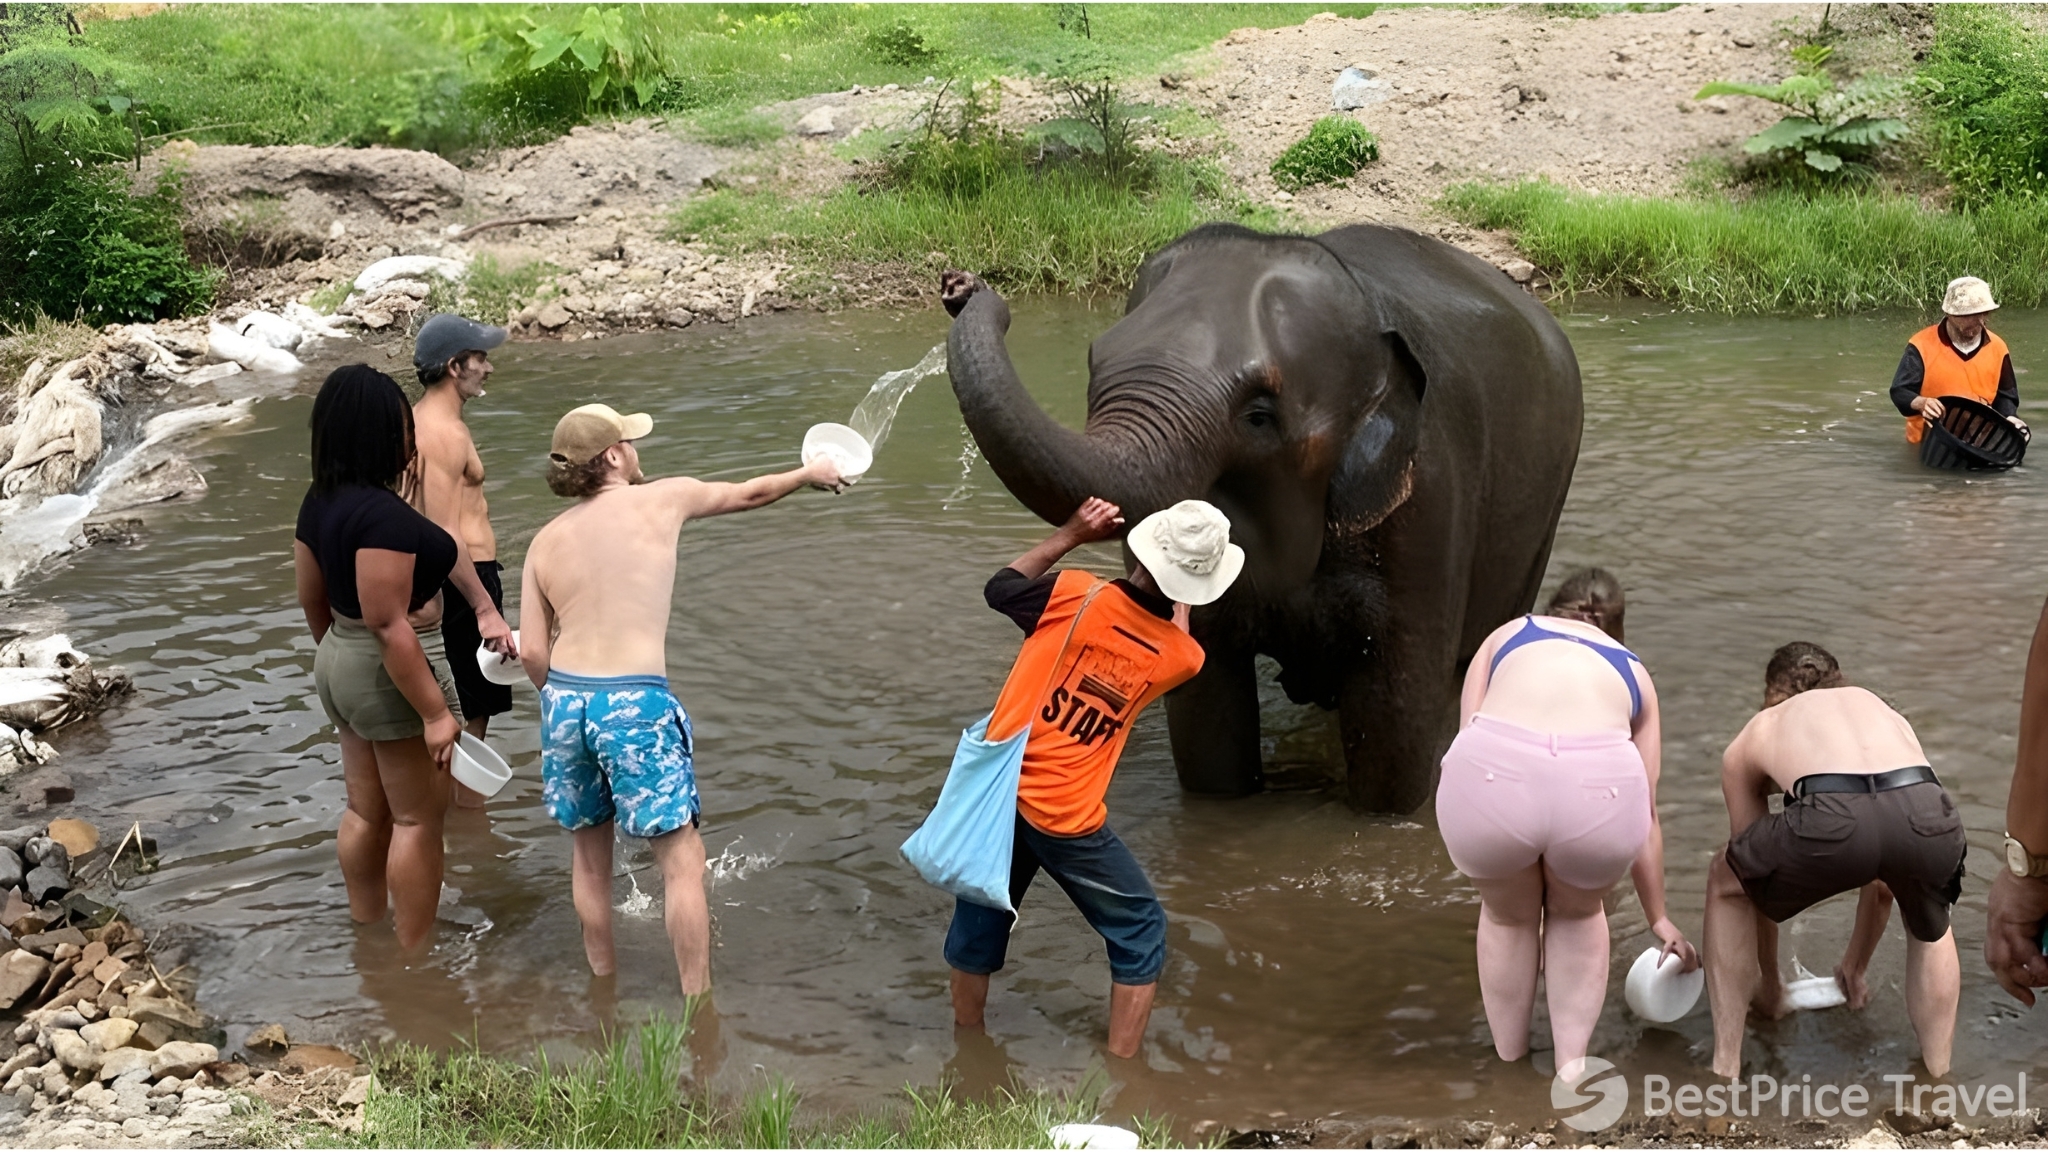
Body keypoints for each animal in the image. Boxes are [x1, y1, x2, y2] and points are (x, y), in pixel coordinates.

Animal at [940, 222, 1582, 813]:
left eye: (1258, 416)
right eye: (1095, 364)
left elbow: (1395, 742)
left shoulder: (1428, 505)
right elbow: (1207, 721)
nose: (962, 287)